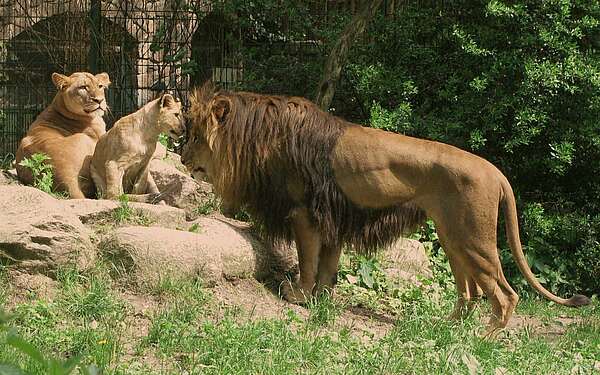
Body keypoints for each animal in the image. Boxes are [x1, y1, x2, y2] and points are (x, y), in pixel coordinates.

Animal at [180, 83, 588, 336]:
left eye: (197, 137)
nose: (182, 159)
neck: (261, 136)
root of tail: (497, 172)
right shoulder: (333, 219)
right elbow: (328, 267)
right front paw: (322, 301)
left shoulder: (304, 213)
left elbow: (307, 262)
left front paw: (298, 297)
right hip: (453, 238)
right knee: (470, 292)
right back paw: (448, 328)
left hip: (474, 239)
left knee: (506, 296)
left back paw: (481, 339)